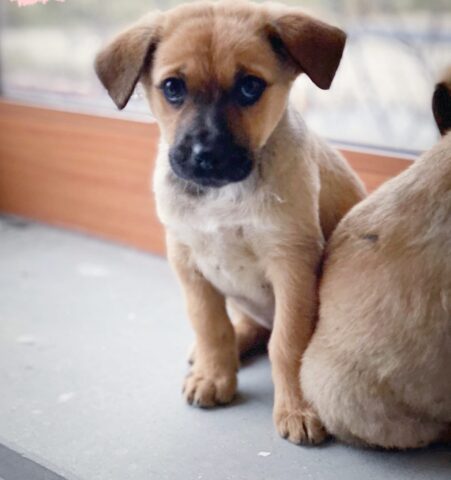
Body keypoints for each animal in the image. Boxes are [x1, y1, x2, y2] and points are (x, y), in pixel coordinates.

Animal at [96, 0, 368, 444]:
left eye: (249, 87)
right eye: (172, 87)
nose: (206, 156)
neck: (222, 198)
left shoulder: (291, 266)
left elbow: (287, 343)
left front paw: (297, 408)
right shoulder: (188, 264)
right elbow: (211, 326)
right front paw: (214, 375)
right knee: (245, 326)